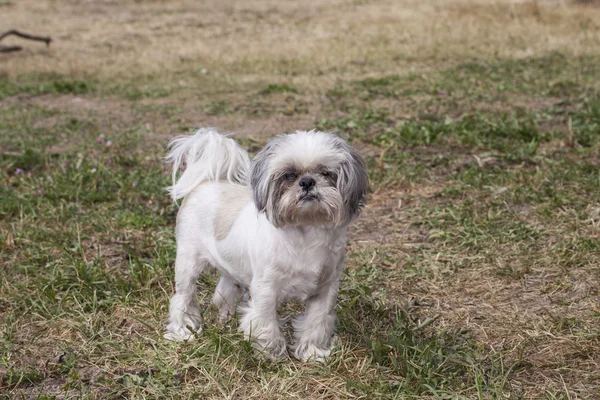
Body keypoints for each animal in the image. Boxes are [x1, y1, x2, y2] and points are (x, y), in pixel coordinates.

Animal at [165, 128, 370, 362]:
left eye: (326, 173)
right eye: (289, 175)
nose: (307, 182)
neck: (306, 230)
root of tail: (205, 182)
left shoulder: (325, 289)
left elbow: (316, 322)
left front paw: (313, 352)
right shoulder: (265, 289)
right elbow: (265, 322)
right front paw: (271, 355)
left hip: (231, 266)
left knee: (225, 289)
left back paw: (226, 318)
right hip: (187, 263)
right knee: (183, 298)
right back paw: (182, 331)